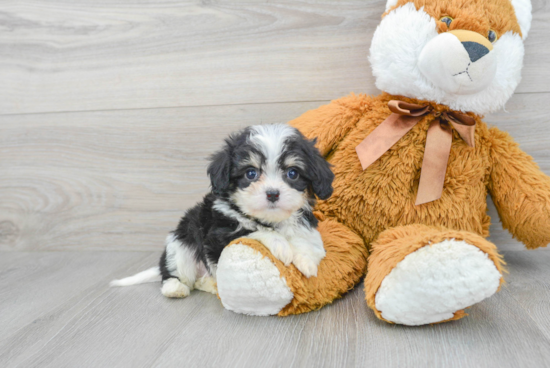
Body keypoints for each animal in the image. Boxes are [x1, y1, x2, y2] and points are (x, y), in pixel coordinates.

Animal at [111, 123, 336, 300]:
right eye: (251, 173)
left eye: (292, 173)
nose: (272, 193)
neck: (269, 220)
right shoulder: (220, 233)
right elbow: (253, 231)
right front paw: (281, 245)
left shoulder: (303, 224)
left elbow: (310, 242)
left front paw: (306, 260)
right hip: (181, 244)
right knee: (175, 271)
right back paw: (175, 288)